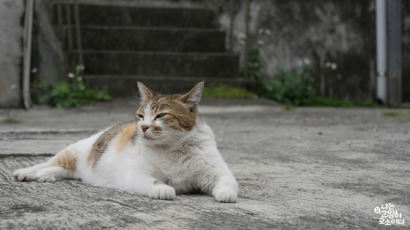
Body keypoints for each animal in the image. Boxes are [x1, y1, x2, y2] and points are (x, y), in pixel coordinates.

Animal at [13, 82, 237, 202]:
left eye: (161, 115)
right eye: (140, 116)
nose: (143, 127)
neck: (174, 149)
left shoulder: (219, 172)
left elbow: (228, 183)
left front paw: (225, 194)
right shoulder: (136, 175)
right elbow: (155, 182)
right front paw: (164, 189)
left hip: (76, 169)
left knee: (63, 170)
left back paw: (46, 177)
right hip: (72, 152)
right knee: (47, 163)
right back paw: (26, 173)